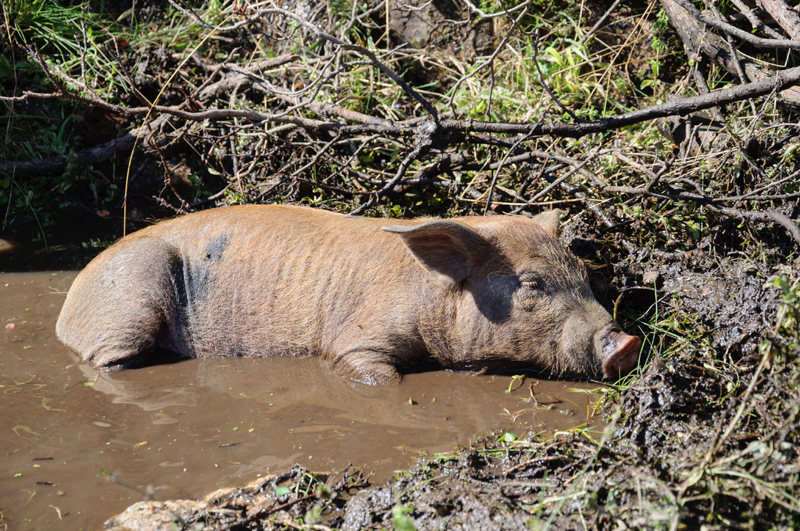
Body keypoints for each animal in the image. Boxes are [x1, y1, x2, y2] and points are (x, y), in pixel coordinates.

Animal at [56, 206, 640, 384]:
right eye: (532, 284)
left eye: (584, 275)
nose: (627, 342)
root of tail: (67, 306)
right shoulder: (355, 336)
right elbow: (373, 372)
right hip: (133, 293)